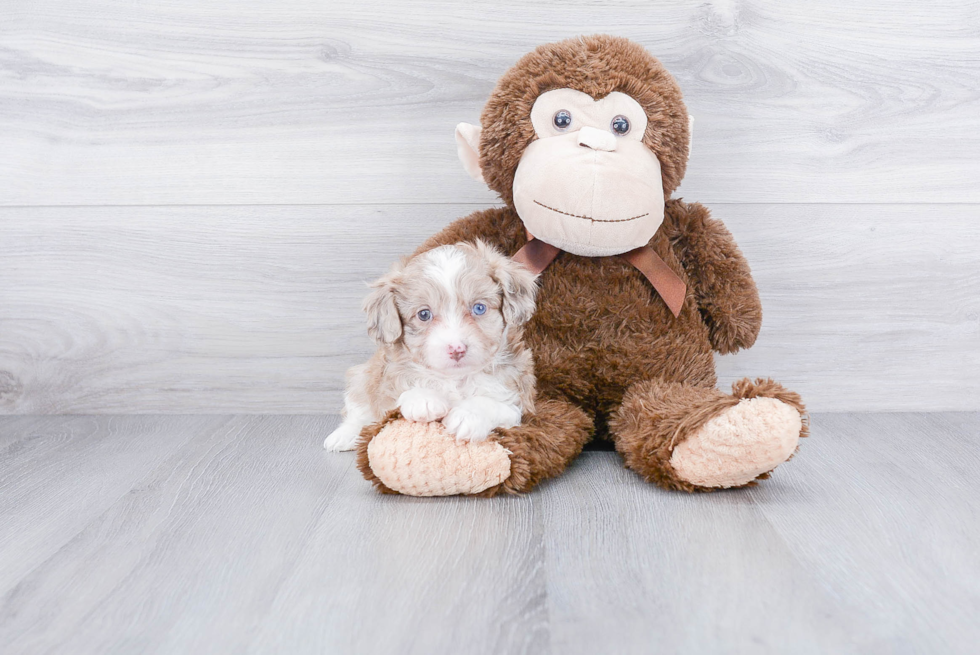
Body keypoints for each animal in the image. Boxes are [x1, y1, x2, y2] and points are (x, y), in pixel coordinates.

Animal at [324, 240, 540, 452]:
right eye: (424, 314)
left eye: (479, 308)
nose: (456, 349)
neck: (455, 379)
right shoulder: (386, 387)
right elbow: (397, 395)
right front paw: (423, 399)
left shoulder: (519, 400)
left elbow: (493, 403)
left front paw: (468, 415)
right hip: (362, 375)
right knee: (358, 407)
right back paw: (344, 435)